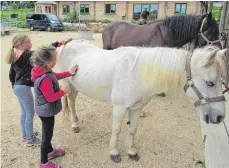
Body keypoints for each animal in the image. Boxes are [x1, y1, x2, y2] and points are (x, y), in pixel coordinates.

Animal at [57, 39, 227, 163]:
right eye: (210, 83)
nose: (219, 117)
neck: (137, 73)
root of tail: (67, 43)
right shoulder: (119, 107)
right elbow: (116, 130)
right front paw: (114, 153)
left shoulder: (136, 108)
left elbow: (133, 129)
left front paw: (131, 152)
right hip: (67, 83)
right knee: (71, 102)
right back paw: (74, 124)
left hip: (76, 86)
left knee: (72, 101)